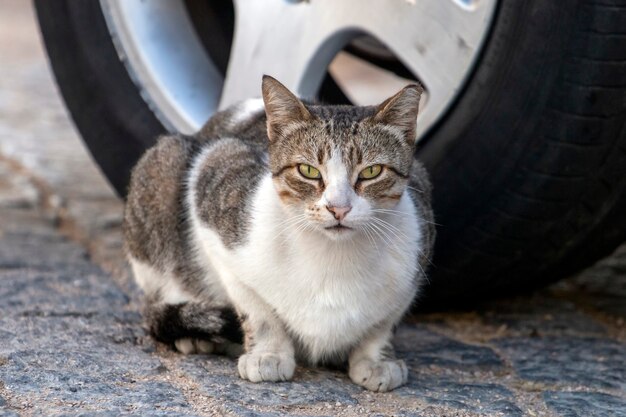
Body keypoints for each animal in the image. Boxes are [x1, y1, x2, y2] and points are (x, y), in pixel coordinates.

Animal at [122, 75, 434, 390]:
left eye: (371, 172)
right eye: (308, 170)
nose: (338, 208)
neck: (333, 256)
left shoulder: (415, 258)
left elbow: (383, 323)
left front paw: (375, 359)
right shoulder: (214, 181)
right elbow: (256, 308)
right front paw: (268, 354)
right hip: (162, 168)